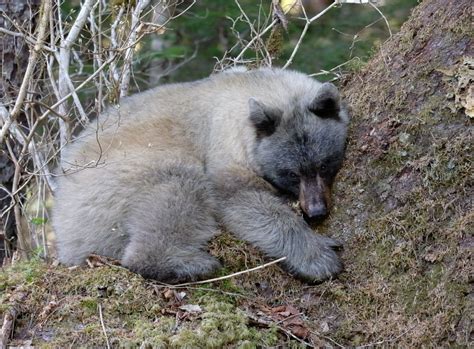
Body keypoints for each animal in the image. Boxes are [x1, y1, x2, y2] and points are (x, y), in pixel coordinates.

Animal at [52, 68, 348, 282]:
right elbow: (239, 198)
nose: (316, 211)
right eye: (292, 173)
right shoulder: (224, 145)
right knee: (178, 190)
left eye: (324, 164)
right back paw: (190, 264)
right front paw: (319, 257)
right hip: (112, 186)